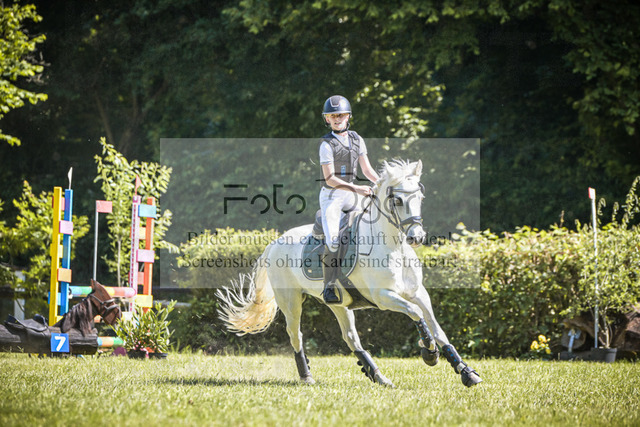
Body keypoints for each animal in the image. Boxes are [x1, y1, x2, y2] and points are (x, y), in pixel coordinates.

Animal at [216, 159, 482, 388]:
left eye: (420, 197)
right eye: (396, 200)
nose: (416, 237)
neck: (394, 248)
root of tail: (274, 243)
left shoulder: (418, 293)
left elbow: (437, 329)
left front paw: (466, 372)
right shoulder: (383, 297)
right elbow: (416, 314)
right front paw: (429, 352)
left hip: (339, 304)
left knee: (350, 337)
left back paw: (378, 376)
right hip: (290, 301)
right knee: (295, 335)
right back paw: (307, 376)